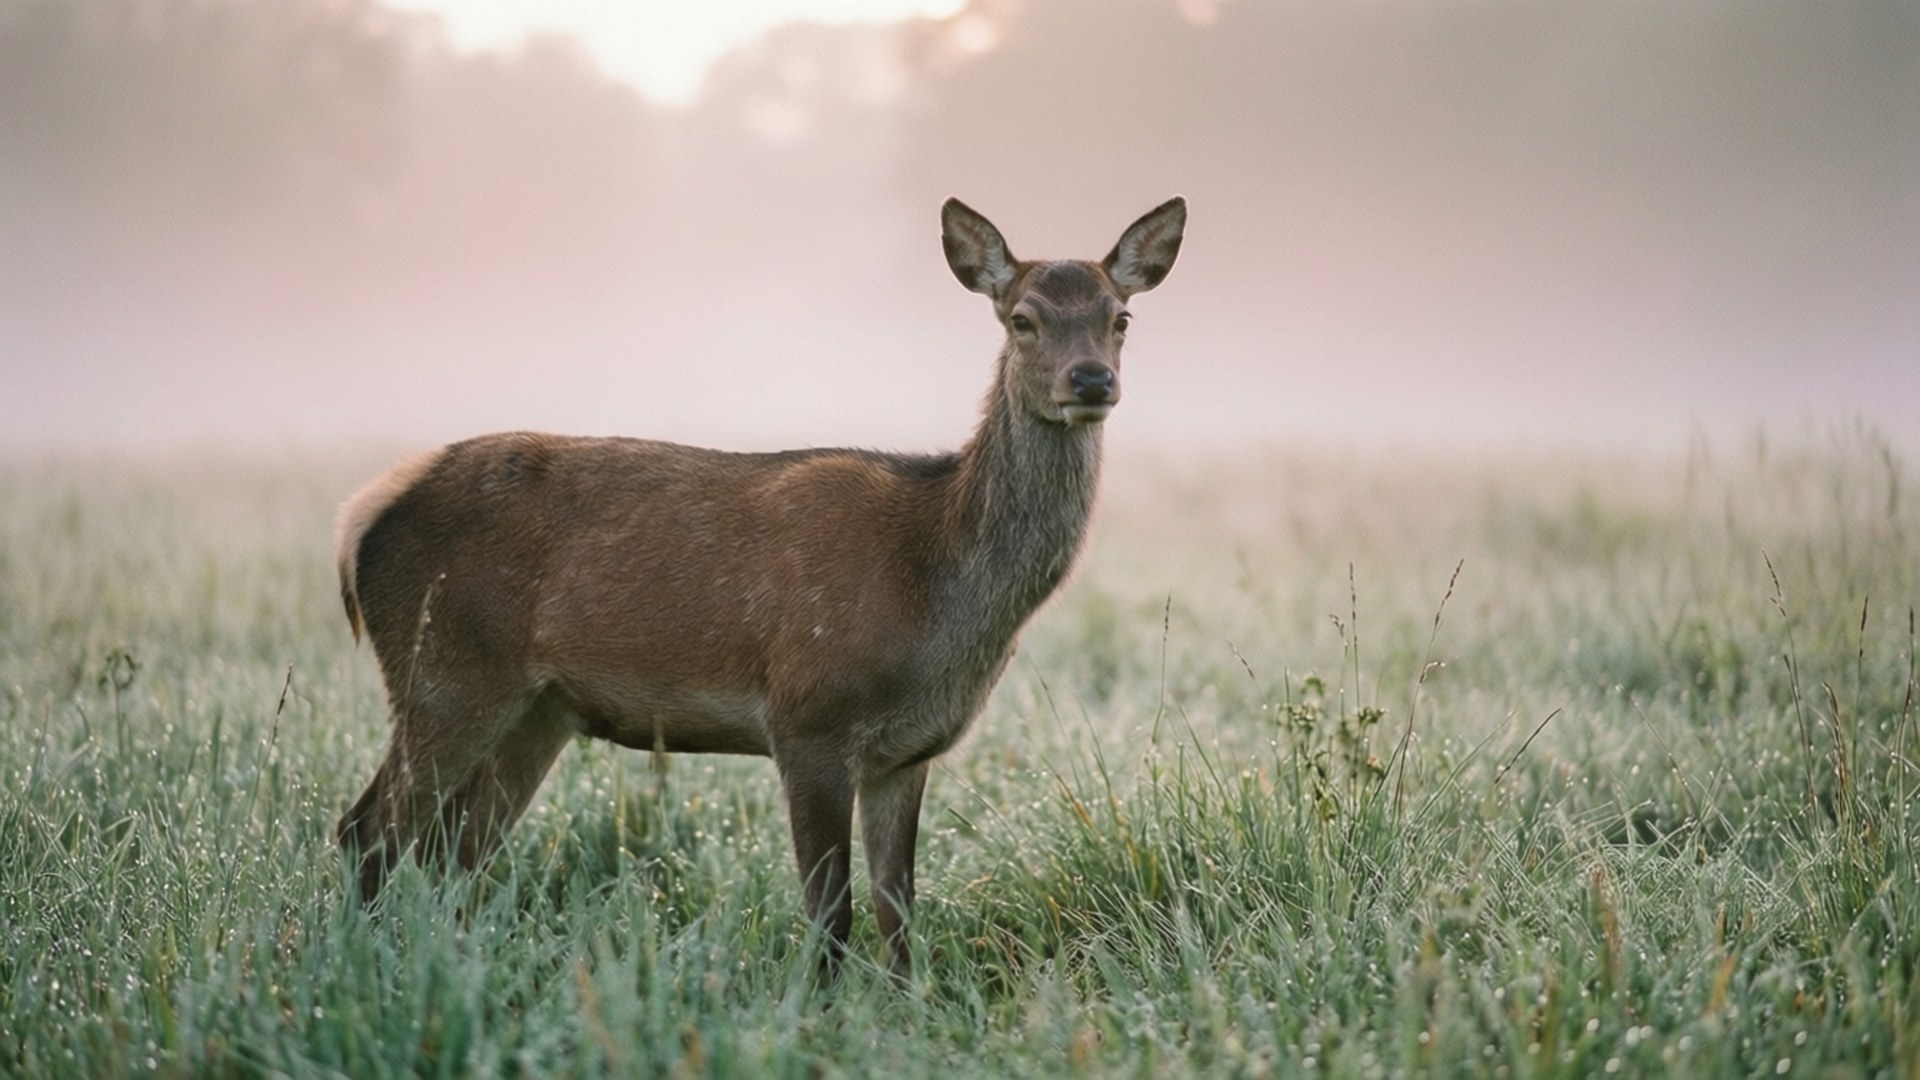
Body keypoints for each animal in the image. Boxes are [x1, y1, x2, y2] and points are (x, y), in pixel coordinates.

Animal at [333, 196, 1186, 976]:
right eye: (1022, 319)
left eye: (1120, 318)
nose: (1091, 380)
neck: (932, 588)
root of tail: (360, 518)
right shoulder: (807, 715)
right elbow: (830, 907)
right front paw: (819, 1013)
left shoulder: (908, 751)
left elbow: (898, 904)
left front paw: (907, 1004)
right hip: (444, 668)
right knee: (370, 830)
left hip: (538, 707)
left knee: (457, 847)